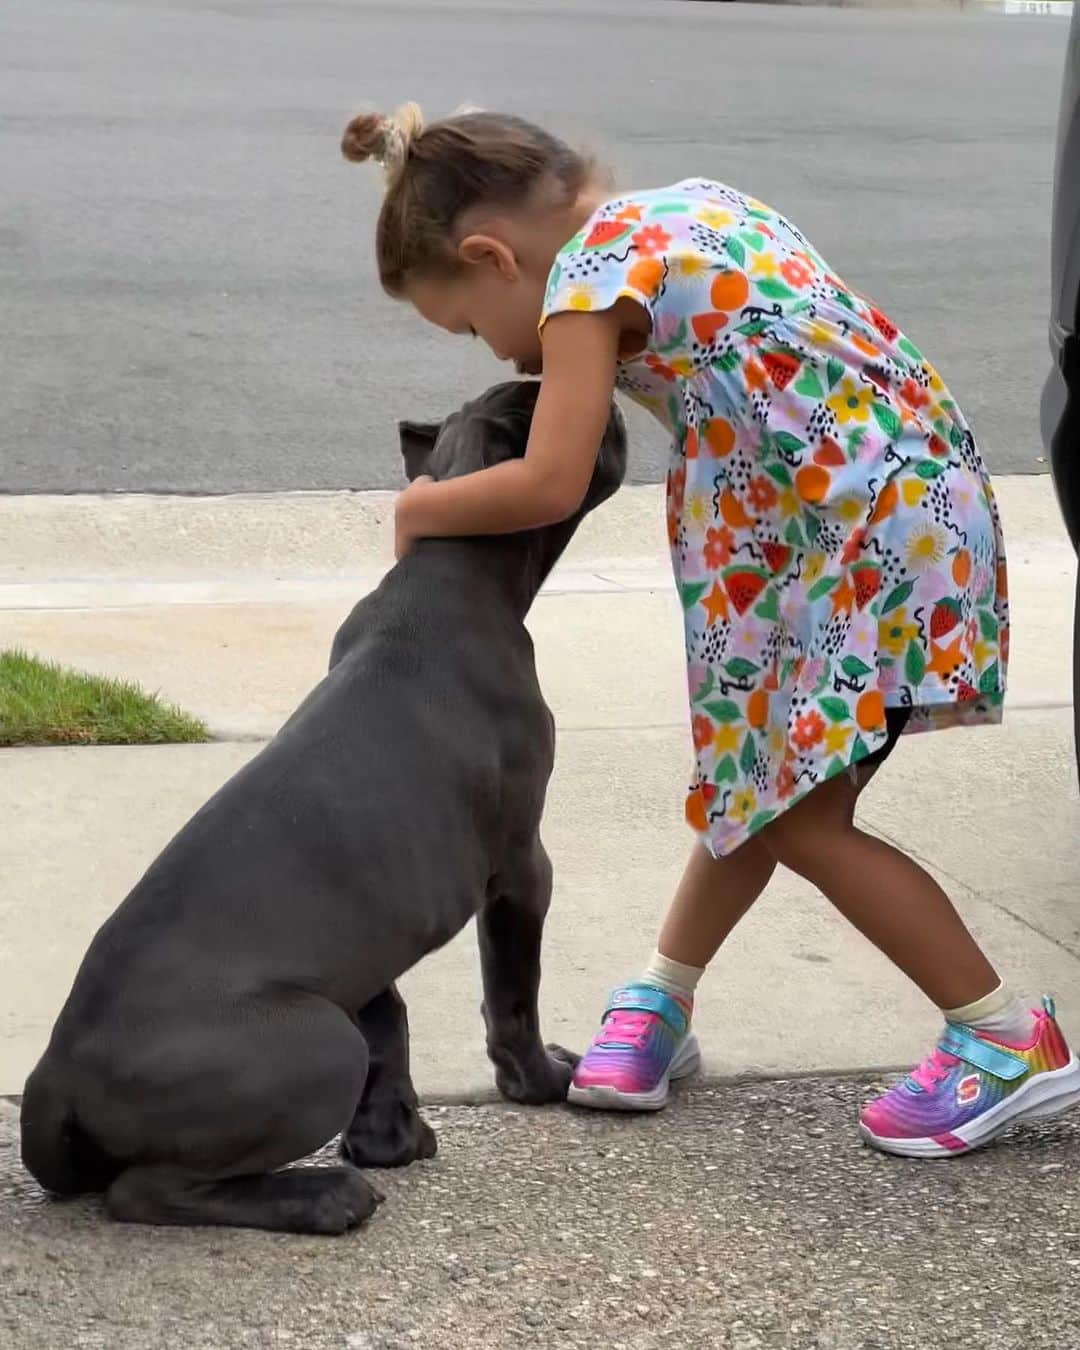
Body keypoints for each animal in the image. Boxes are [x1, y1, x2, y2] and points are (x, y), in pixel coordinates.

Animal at [18, 380, 623, 1236]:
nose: (612, 400)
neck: (455, 570)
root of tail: (54, 1081)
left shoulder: (366, 936)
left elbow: (389, 1015)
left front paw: (392, 1136)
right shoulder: (521, 865)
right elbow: (512, 996)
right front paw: (538, 1082)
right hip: (317, 1044)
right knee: (145, 1192)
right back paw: (324, 1195)